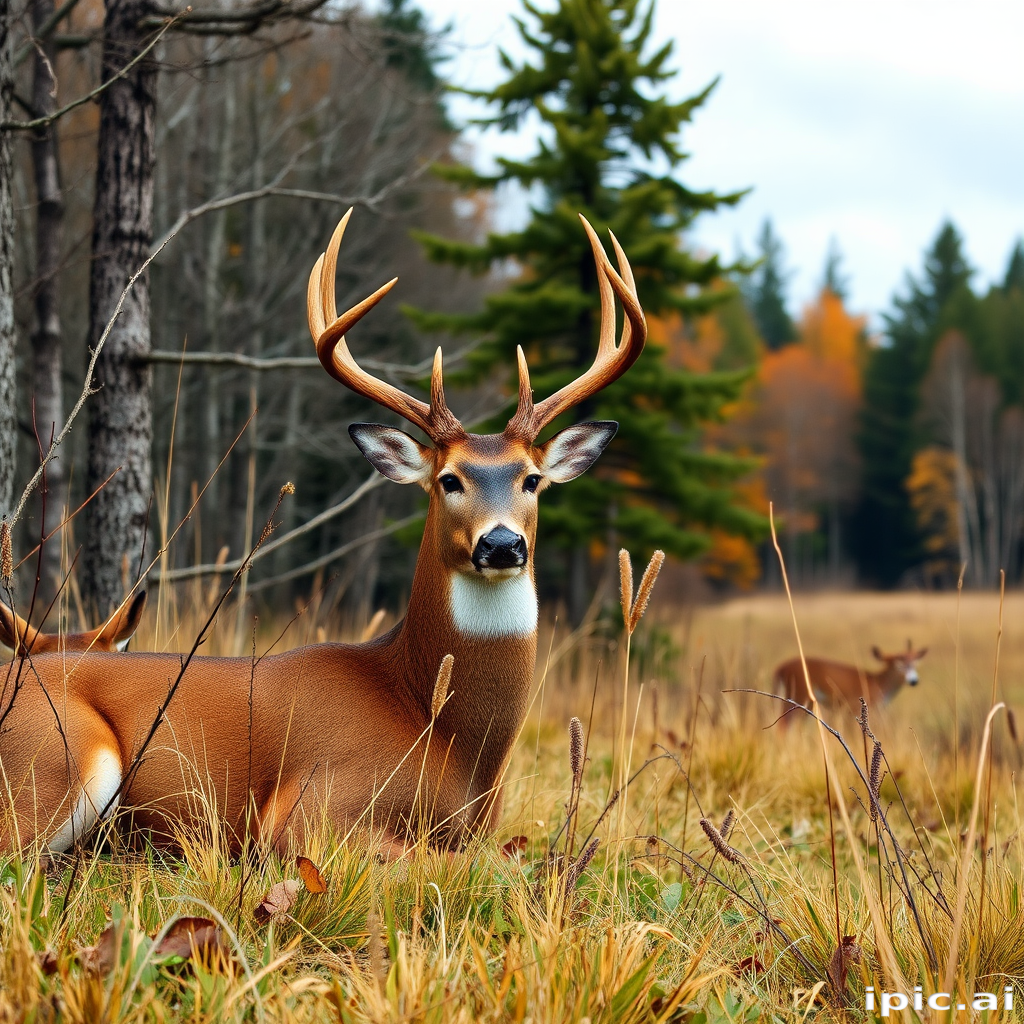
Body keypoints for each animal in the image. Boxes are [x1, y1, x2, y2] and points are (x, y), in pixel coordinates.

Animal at [772, 641, 928, 727]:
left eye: (915, 663)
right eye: (898, 665)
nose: (914, 681)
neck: (878, 683)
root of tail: (780, 668)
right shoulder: (854, 707)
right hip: (799, 693)